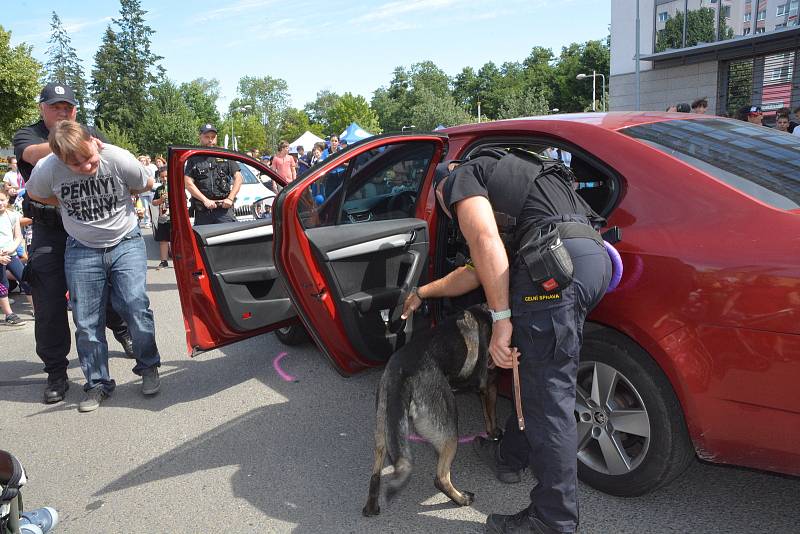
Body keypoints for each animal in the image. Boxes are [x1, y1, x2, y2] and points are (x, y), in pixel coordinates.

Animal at [364, 306, 500, 520]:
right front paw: (494, 434)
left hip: (382, 427)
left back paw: (371, 505)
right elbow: (491, 415)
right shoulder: (490, 383)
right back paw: (461, 499)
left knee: (376, 470)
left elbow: (487, 413)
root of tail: (401, 371)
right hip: (449, 428)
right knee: (440, 477)